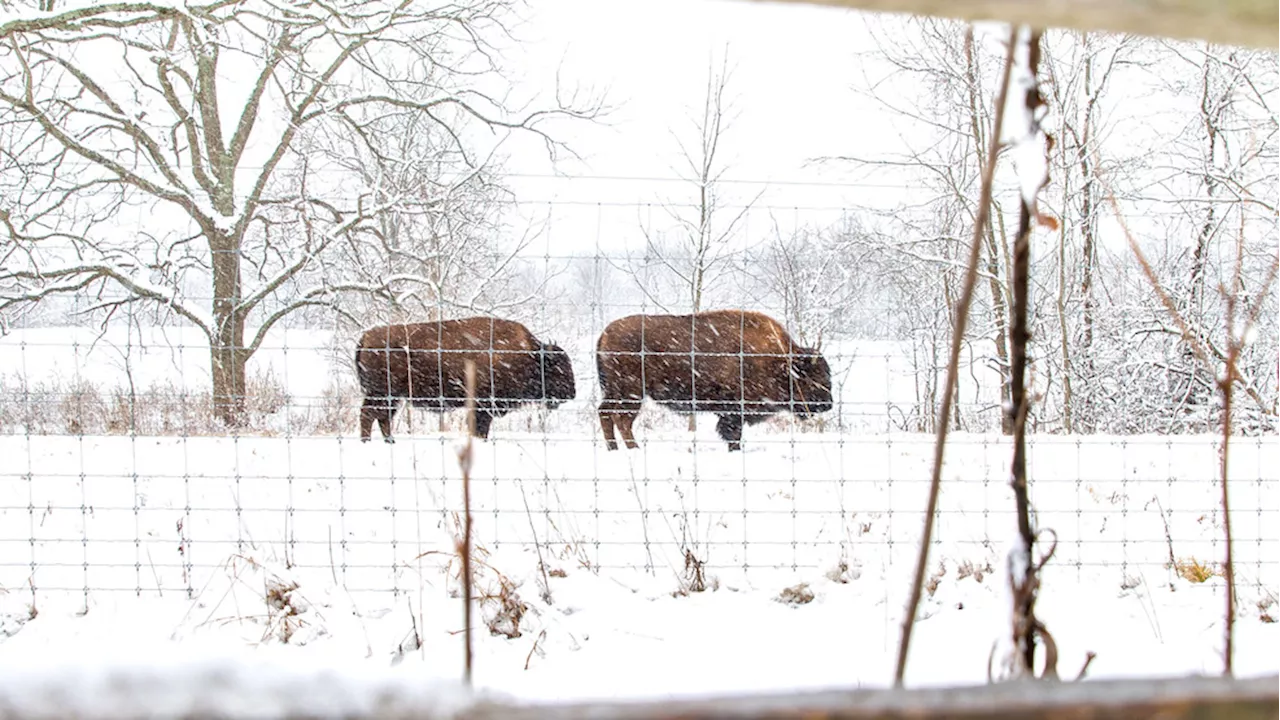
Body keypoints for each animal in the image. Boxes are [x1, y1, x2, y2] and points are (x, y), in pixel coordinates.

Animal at [355, 315, 576, 440]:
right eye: (559, 368)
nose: (572, 393)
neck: (530, 355)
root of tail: (366, 336)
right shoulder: (482, 406)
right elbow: (480, 429)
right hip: (380, 393)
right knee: (369, 415)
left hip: (392, 397)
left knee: (382, 418)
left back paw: (389, 441)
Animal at [593, 307, 834, 448]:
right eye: (814, 376)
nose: (829, 404)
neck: (781, 360)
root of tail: (605, 333)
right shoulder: (735, 410)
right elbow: (733, 433)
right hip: (631, 393)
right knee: (621, 419)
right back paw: (634, 448)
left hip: (616, 392)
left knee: (605, 413)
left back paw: (614, 449)